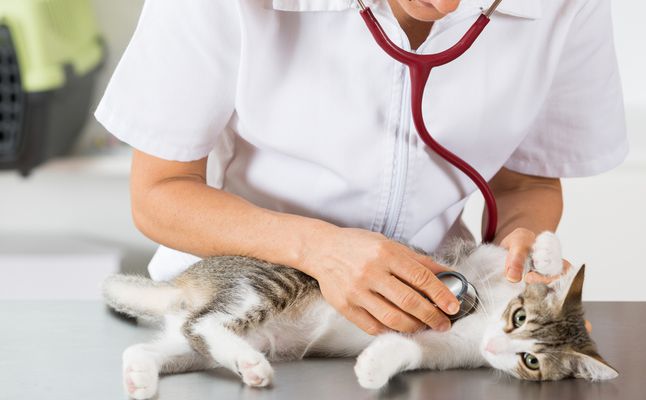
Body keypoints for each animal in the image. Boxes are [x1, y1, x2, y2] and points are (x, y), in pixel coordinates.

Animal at [102, 231, 617, 399]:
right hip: (268, 284)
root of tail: (188, 280)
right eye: (518, 318)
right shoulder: (469, 264)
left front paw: (373, 368)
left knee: (166, 341)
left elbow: (406, 348)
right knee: (205, 323)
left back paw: (141, 377)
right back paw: (251, 365)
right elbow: (502, 251)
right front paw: (545, 254)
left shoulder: (440, 350)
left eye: (532, 361)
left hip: (192, 345)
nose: (498, 344)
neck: (477, 324)